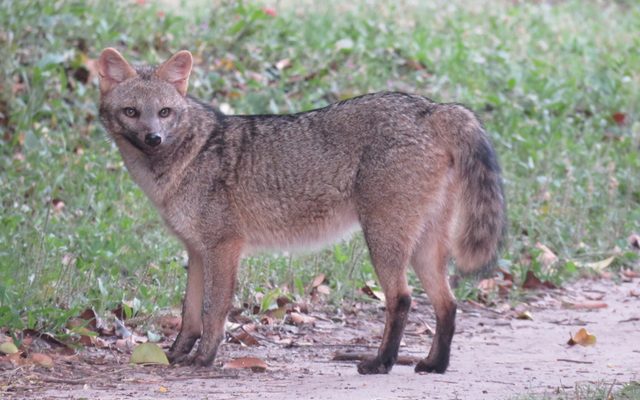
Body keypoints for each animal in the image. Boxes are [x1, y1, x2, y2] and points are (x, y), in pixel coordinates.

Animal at [97, 47, 505, 375]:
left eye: (164, 112)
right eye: (132, 112)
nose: (154, 138)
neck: (187, 157)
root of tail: (432, 108)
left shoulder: (223, 248)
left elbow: (214, 313)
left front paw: (204, 359)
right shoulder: (196, 251)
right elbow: (189, 314)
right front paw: (174, 355)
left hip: (384, 240)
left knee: (402, 299)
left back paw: (381, 363)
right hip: (422, 248)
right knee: (447, 304)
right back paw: (434, 364)